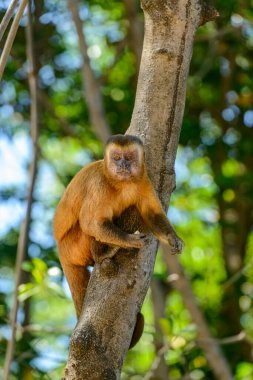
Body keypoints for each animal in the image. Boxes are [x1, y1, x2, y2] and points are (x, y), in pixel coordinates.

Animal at [53, 134, 184, 348]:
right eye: (116, 157)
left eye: (129, 157)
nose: (122, 164)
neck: (122, 183)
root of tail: (60, 251)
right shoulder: (98, 185)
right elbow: (91, 223)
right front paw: (130, 240)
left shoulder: (144, 181)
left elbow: (152, 214)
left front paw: (173, 238)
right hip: (71, 246)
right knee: (89, 226)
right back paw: (103, 253)